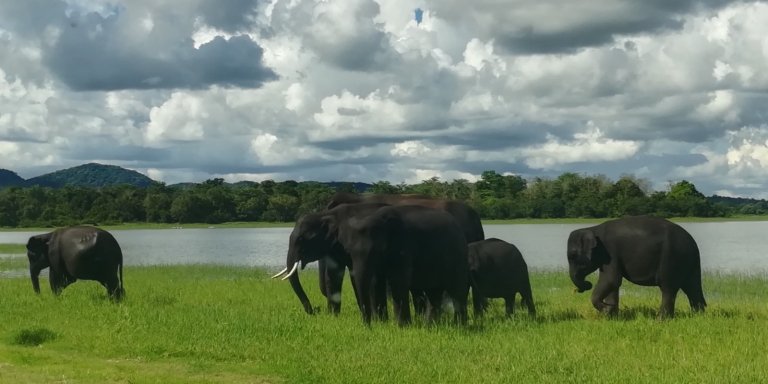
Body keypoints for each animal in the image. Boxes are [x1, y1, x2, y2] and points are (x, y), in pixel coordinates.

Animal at [568, 216, 704, 318]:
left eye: (573, 256)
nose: (585, 285)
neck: (593, 228)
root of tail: (693, 243)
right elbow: (613, 283)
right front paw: (611, 316)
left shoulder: (610, 253)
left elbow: (611, 280)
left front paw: (607, 310)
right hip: (689, 261)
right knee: (693, 287)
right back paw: (699, 316)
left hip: (672, 258)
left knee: (668, 289)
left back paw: (661, 320)